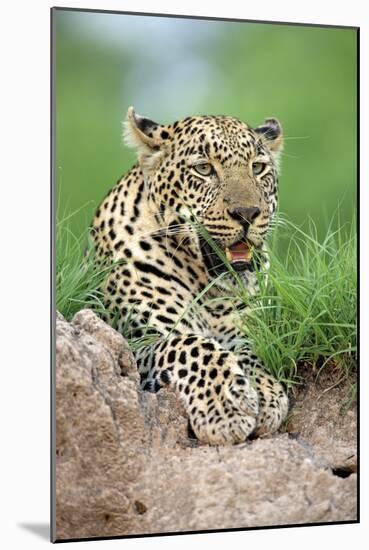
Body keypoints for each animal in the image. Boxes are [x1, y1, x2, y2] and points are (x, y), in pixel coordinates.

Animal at [91, 109, 288, 448]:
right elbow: (192, 346)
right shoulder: (136, 341)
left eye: (258, 167)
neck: (212, 294)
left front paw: (265, 391)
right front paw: (224, 406)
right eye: (204, 169)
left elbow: (253, 351)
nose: (247, 213)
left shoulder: (246, 330)